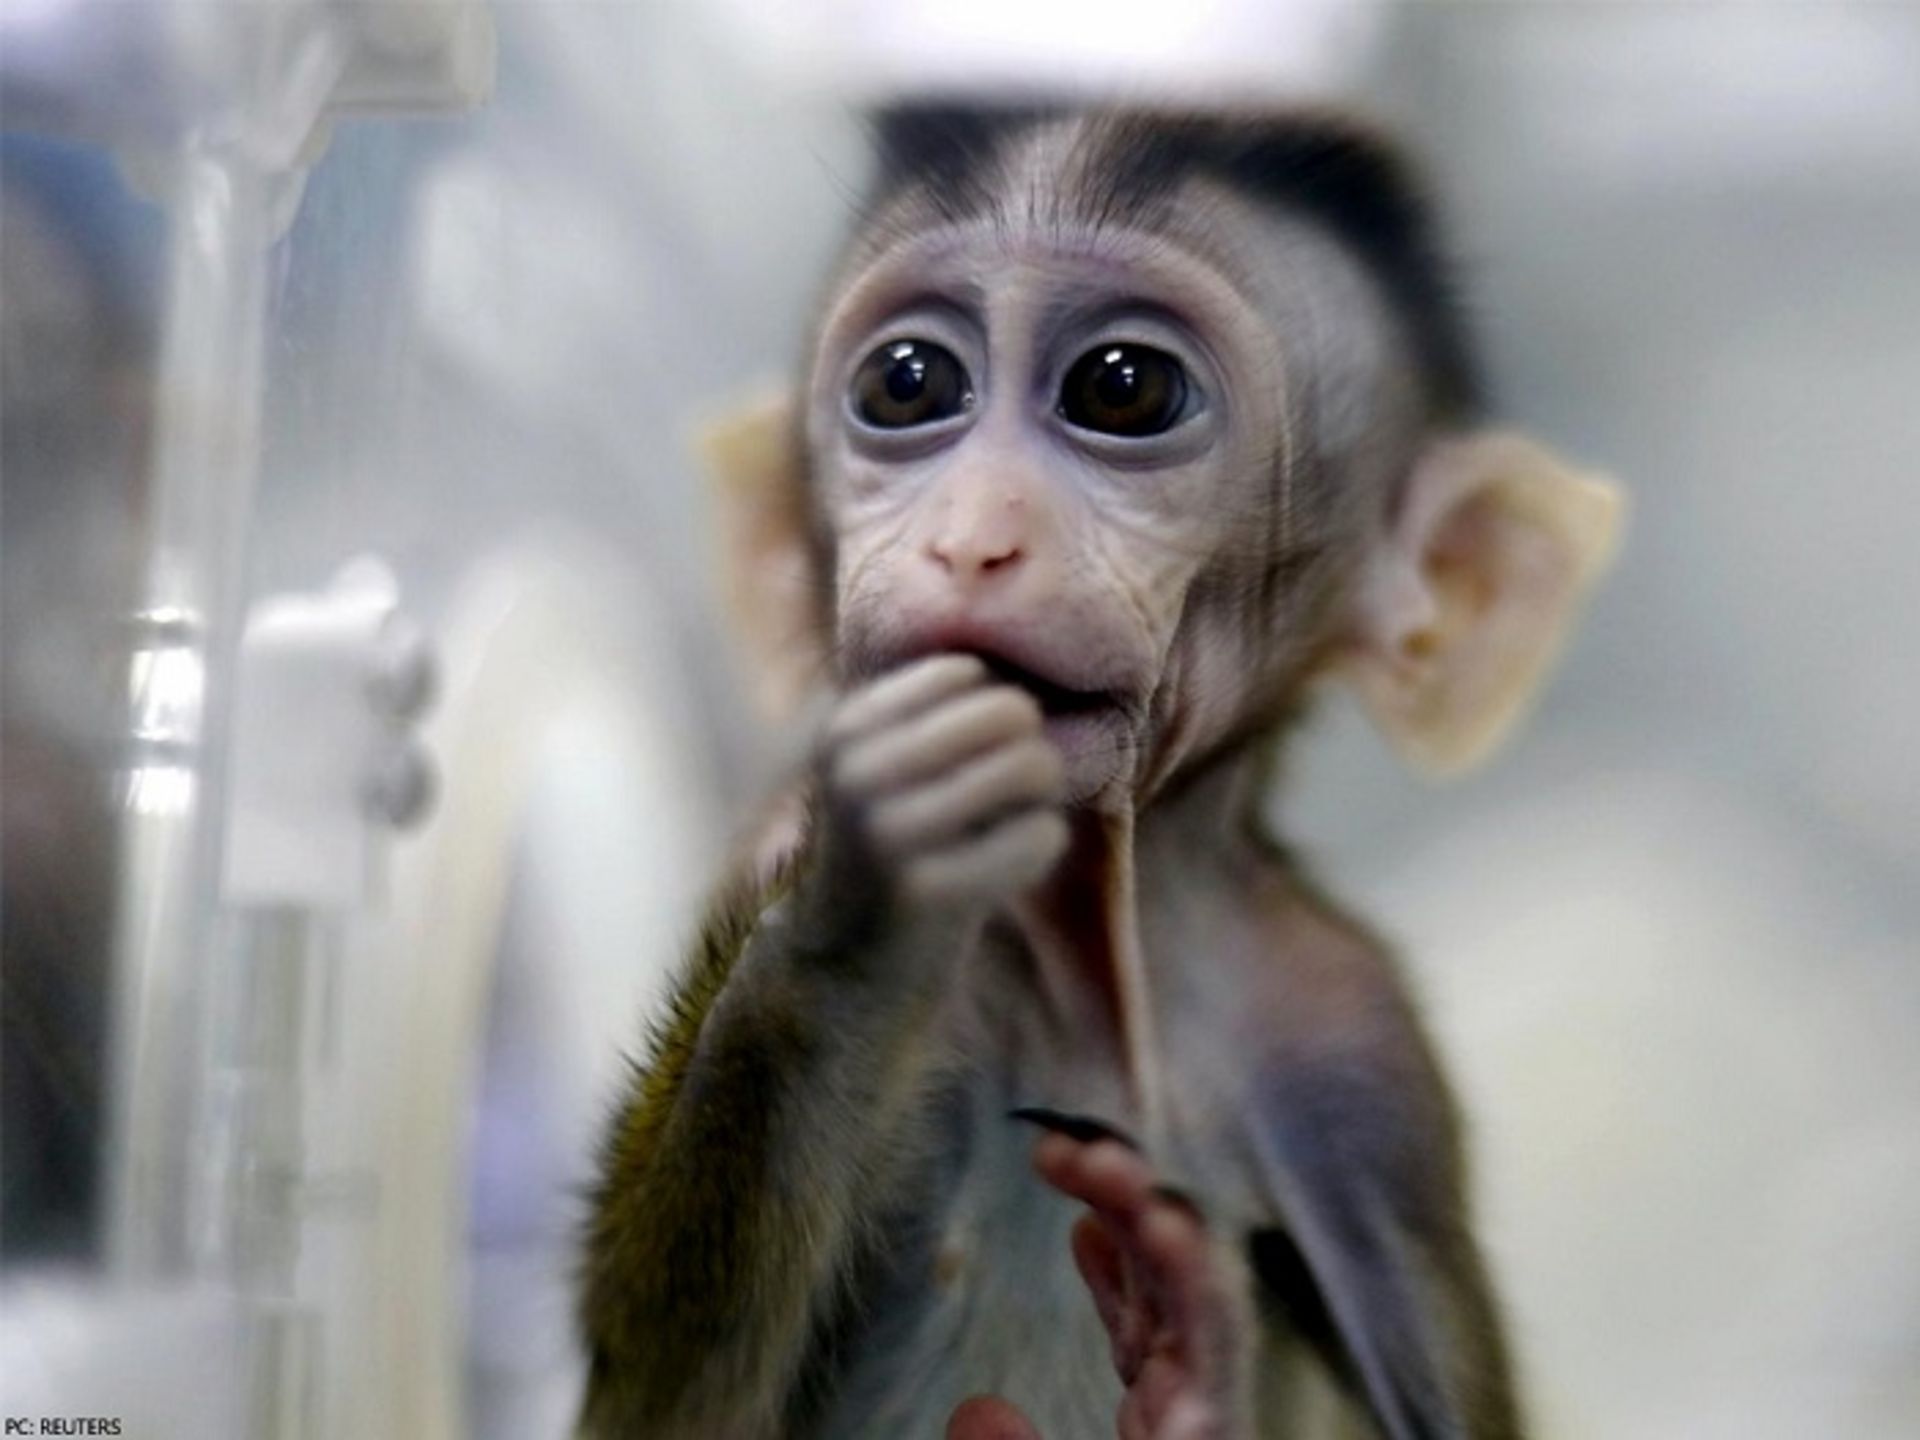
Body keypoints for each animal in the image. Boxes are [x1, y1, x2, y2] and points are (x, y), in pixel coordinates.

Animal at [577, 105, 1621, 1440]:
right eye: (907, 382)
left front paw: (1195, 1352)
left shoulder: (1362, 1052)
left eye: (1124, 389)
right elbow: (666, 1410)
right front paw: (858, 917)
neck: (1094, 977)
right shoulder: (760, 847)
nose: (973, 537)